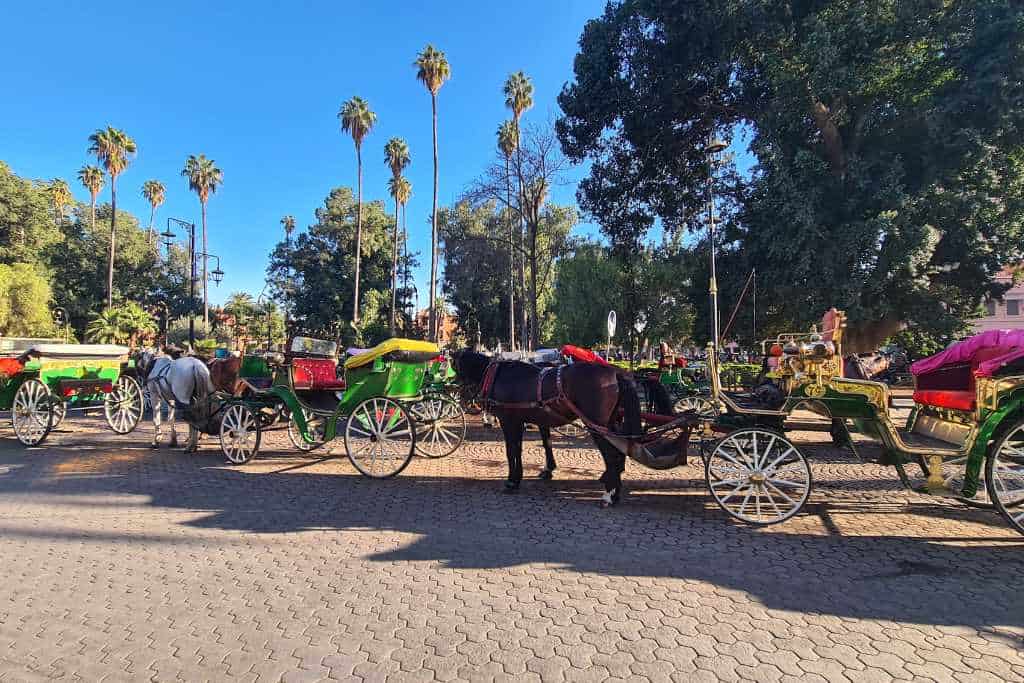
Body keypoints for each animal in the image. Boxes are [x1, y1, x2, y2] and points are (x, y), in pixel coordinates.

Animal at [454, 352, 675, 501]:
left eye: (454, 367)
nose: (462, 397)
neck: (499, 376)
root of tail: (616, 372)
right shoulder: (522, 421)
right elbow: (527, 447)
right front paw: (524, 476)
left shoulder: (509, 421)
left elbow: (511, 451)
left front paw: (511, 481)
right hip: (611, 423)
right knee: (619, 452)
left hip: (597, 425)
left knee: (612, 454)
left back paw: (610, 493)